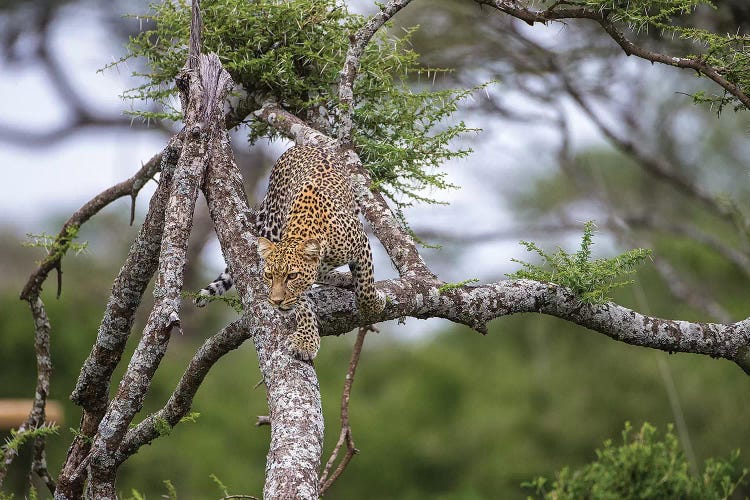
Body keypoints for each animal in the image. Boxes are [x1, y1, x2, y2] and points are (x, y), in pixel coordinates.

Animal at [194, 145, 388, 360]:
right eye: (269, 276)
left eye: (292, 276)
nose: (276, 302)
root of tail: (300, 147)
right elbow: (303, 304)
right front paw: (306, 341)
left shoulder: (361, 243)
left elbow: (366, 289)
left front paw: (375, 304)